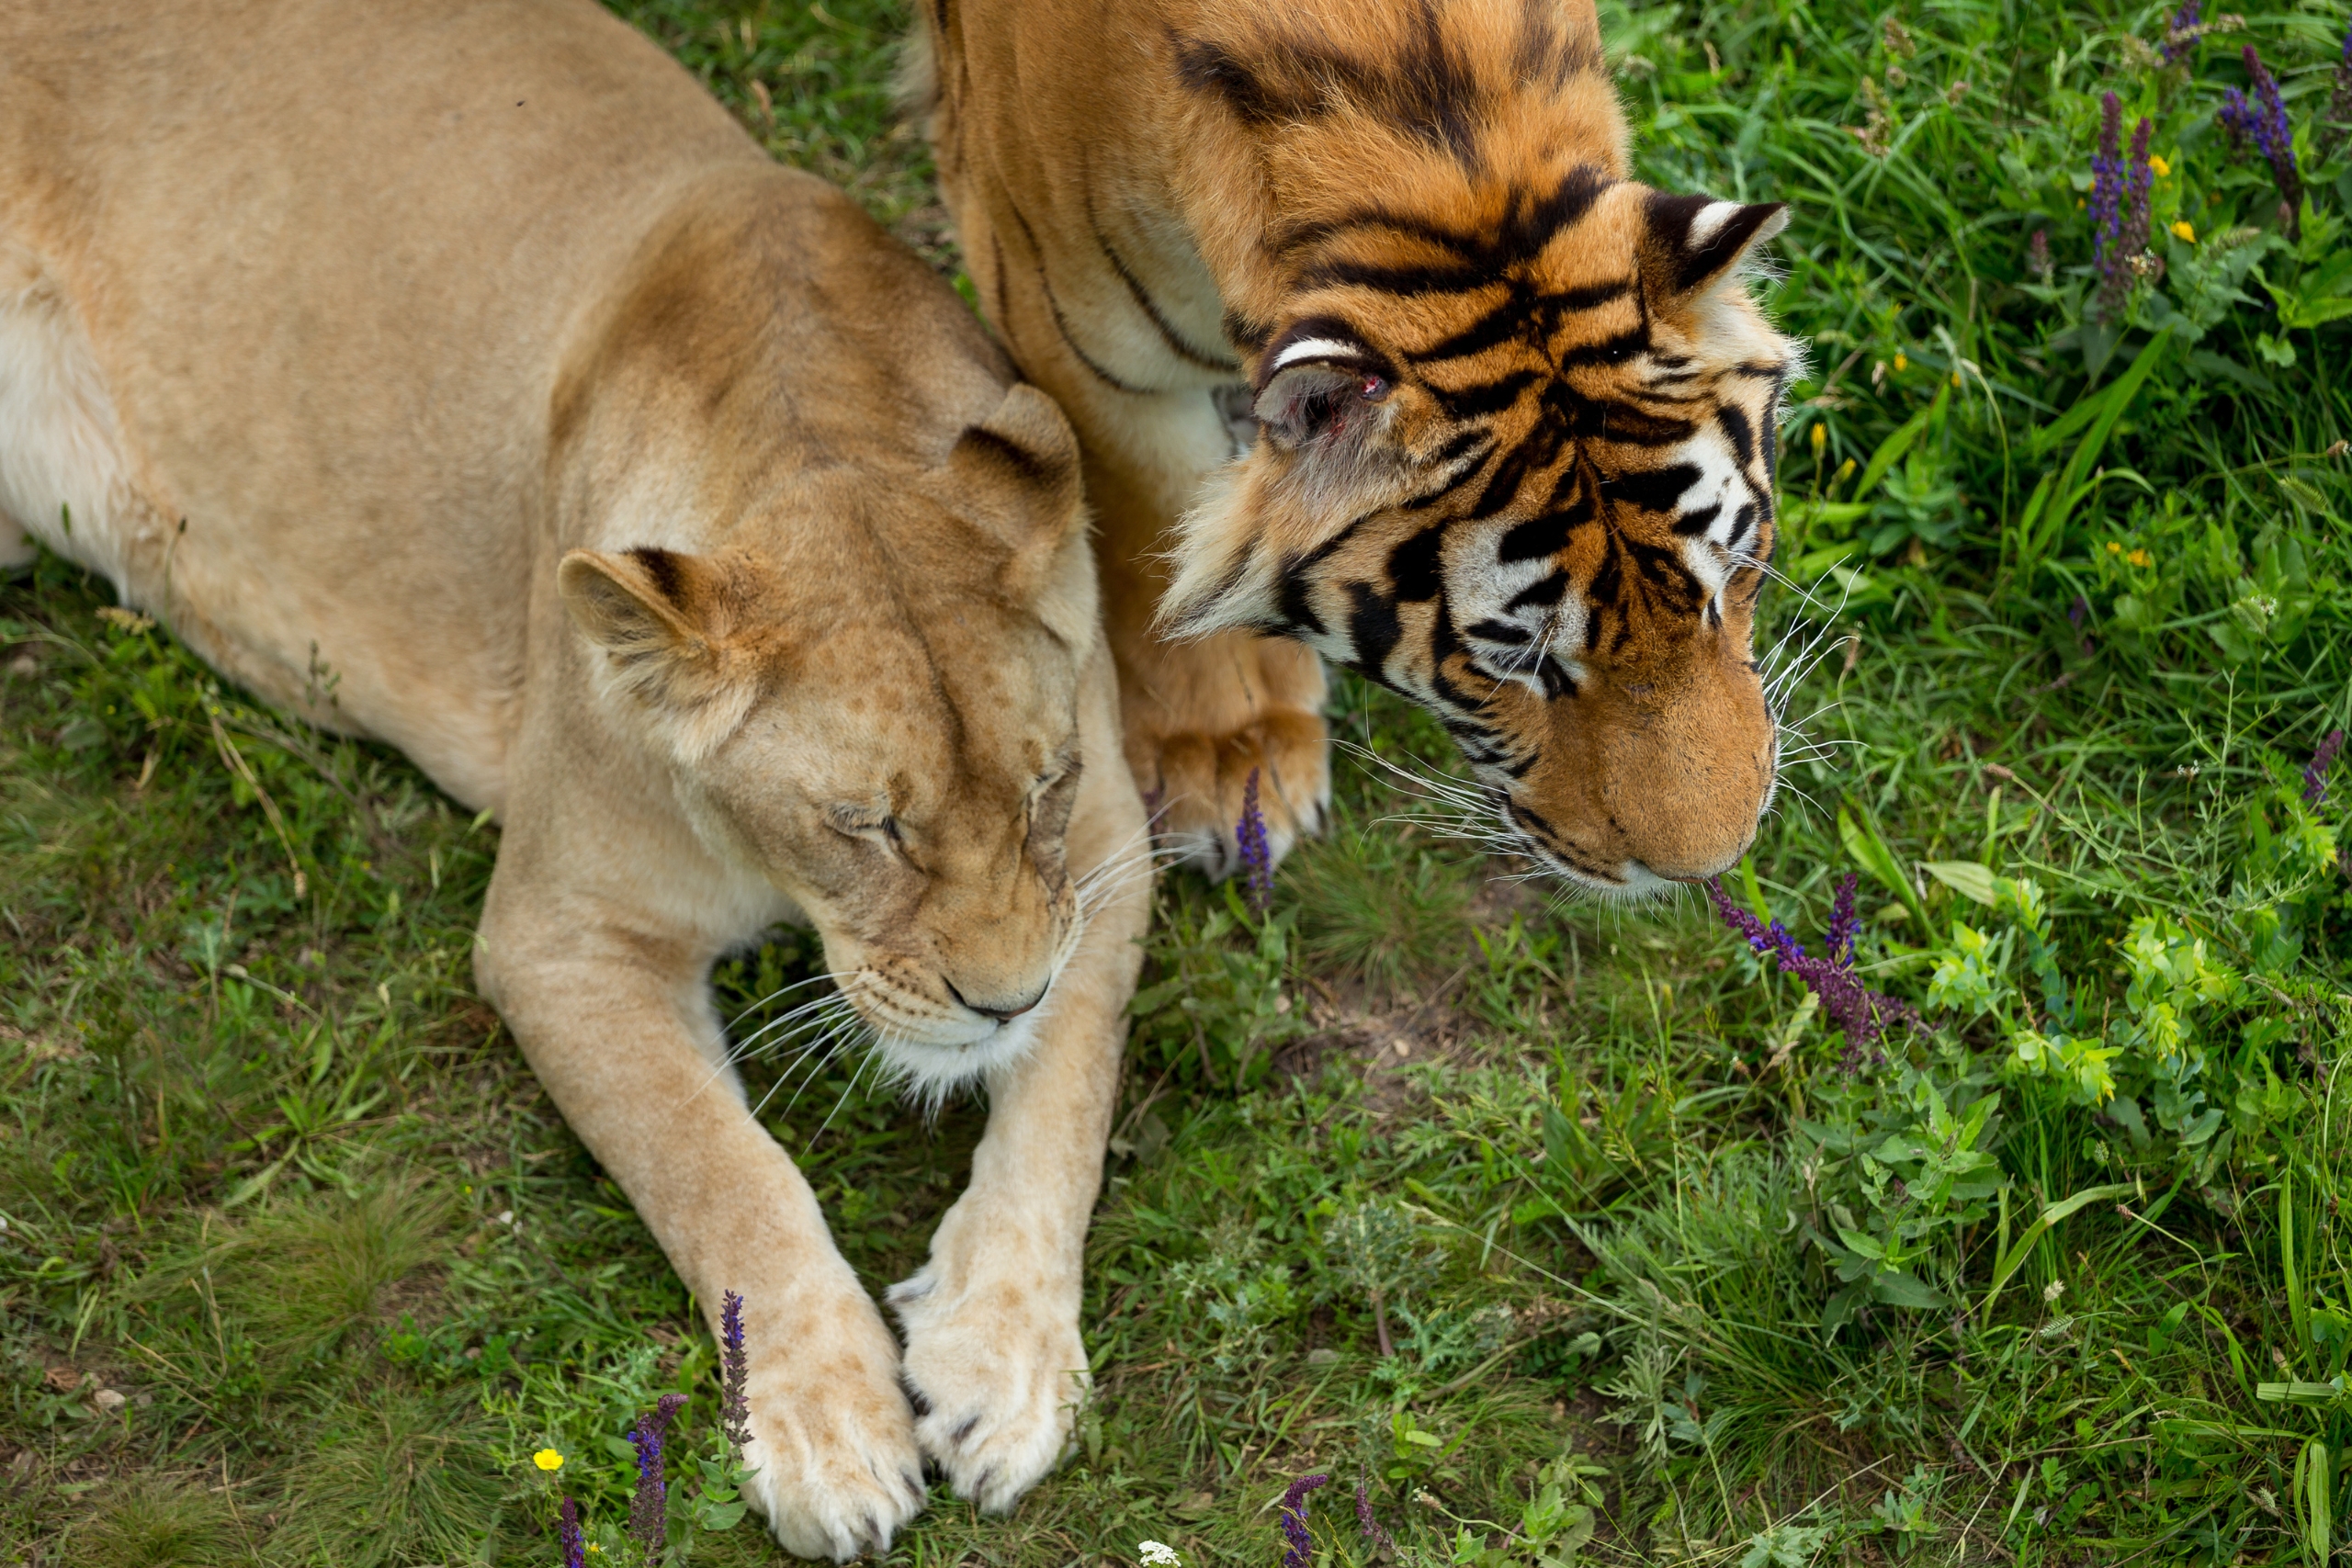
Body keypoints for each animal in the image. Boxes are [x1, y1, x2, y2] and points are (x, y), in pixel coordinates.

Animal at [0, 0, 1148, 1556]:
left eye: (1042, 789)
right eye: (865, 826)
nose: (998, 999)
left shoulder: (1112, 847)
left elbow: (1069, 1092)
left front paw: (1004, 1362)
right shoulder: (560, 932)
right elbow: (717, 1164)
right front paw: (827, 1428)